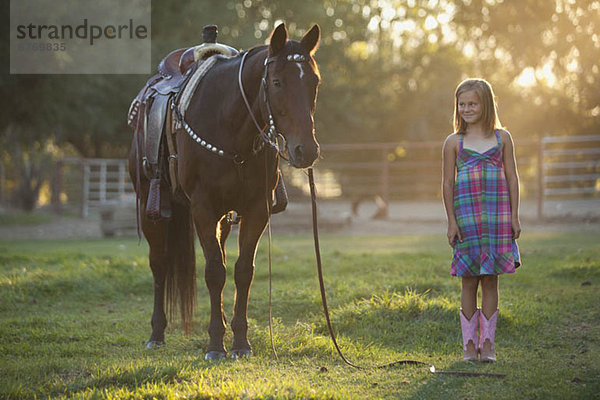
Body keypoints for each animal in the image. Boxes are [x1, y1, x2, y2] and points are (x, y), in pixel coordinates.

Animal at [128, 23, 322, 360]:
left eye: (314, 82)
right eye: (276, 82)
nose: (306, 150)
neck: (230, 127)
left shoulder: (256, 210)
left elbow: (243, 270)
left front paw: (240, 342)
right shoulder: (203, 210)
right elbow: (214, 272)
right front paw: (216, 345)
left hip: (223, 218)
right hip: (152, 210)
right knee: (159, 264)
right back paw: (157, 334)